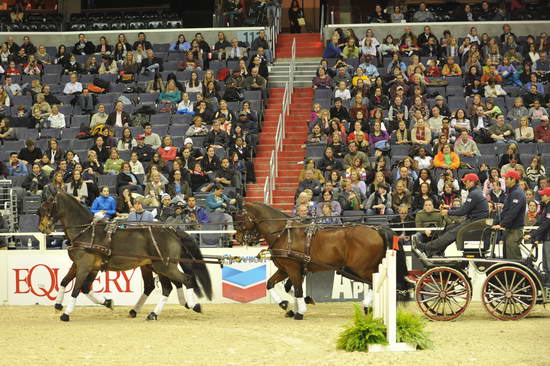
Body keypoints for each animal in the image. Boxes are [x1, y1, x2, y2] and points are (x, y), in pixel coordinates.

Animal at [37, 193, 213, 322]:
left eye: (47, 206)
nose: (42, 227)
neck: (86, 232)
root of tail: (172, 230)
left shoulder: (85, 266)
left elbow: (77, 288)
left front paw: (66, 313)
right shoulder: (83, 265)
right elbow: (68, 282)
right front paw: (59, 304)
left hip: (164, 266)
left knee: (185, 280)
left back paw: (193, 305)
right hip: (156, 266)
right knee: (164, 287)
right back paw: (150, 312)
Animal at [235, 203, 408, 320]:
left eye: (240, 217)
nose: (237, 237)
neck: (283, 233)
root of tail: (377, 229)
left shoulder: (292, 268)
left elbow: (297, 290)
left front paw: (299, 312)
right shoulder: (285, 269)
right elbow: (274, 285)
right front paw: (288, 305)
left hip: (360, 268)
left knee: (374, 283)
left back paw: (367, 306)